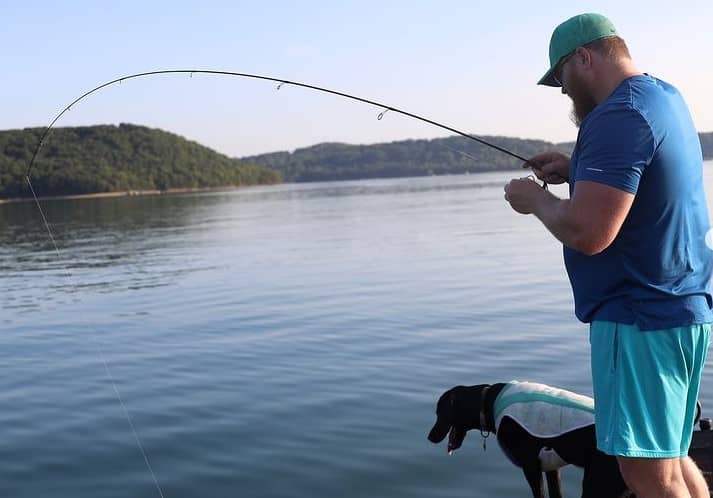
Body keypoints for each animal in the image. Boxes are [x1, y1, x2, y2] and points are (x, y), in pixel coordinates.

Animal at [426, 382, 632, 498]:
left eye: (439, 412)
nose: (429, 437)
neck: (488, 402)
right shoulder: (551, 468)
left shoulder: (531, 467)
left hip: (597, 484)